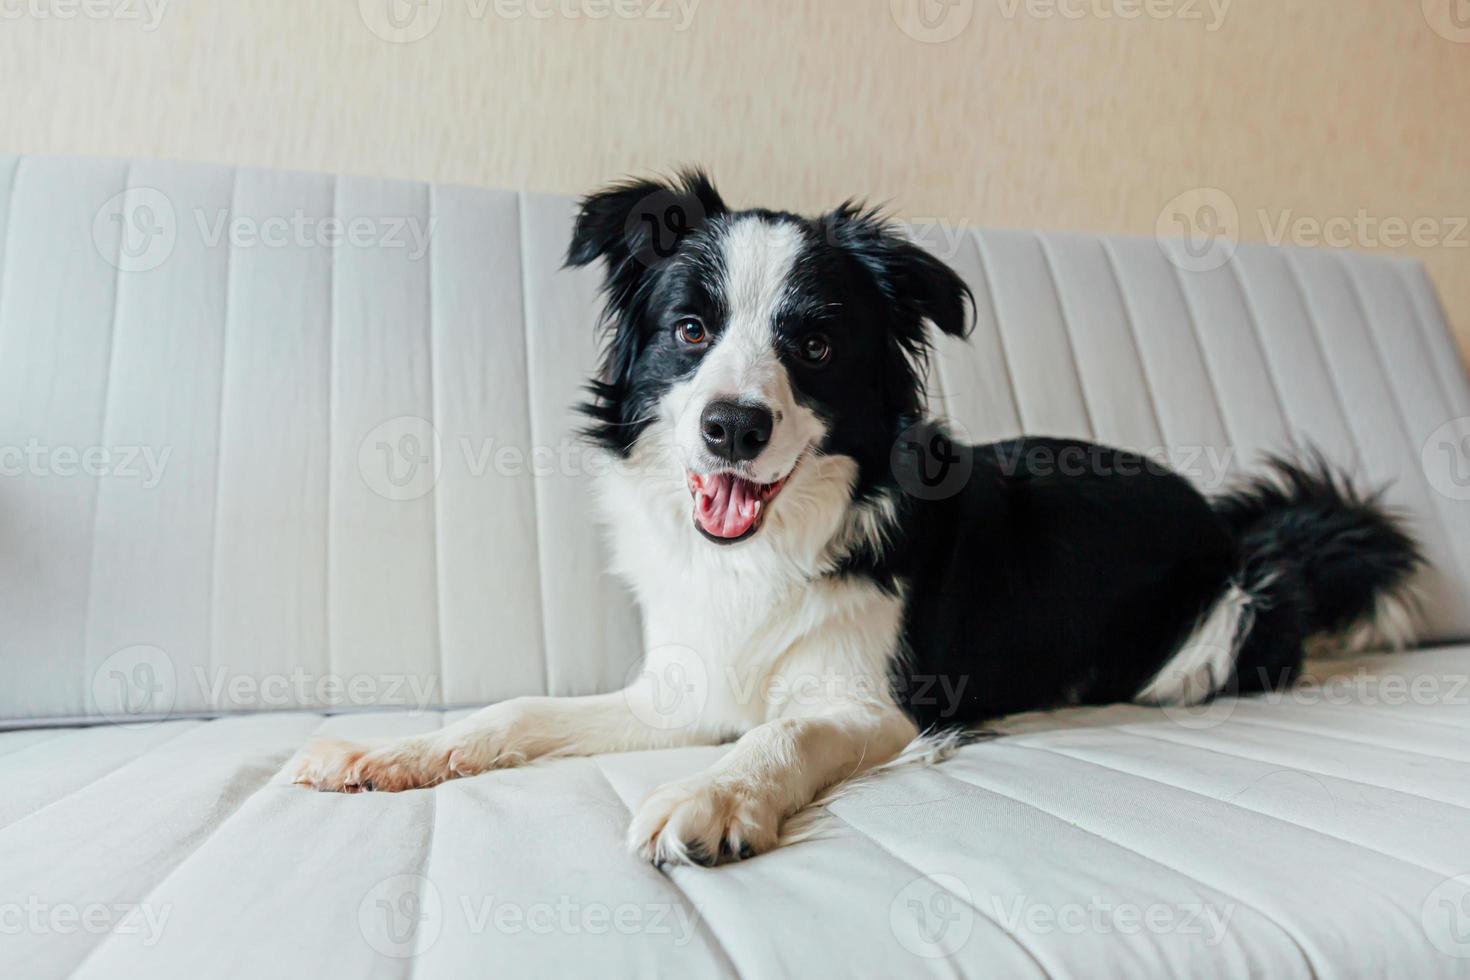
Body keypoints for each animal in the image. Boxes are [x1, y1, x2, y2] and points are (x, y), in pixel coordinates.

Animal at [292, 174, 1417, 863]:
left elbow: (779, 732)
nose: (734, 426)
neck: (766, 549)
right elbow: (519, 711)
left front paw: (710, 798)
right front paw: (388, 752)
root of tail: (1237, 529)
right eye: (690, 329)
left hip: (1215, 633)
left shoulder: (882, 703)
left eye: (818, 345)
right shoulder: (681, 686)